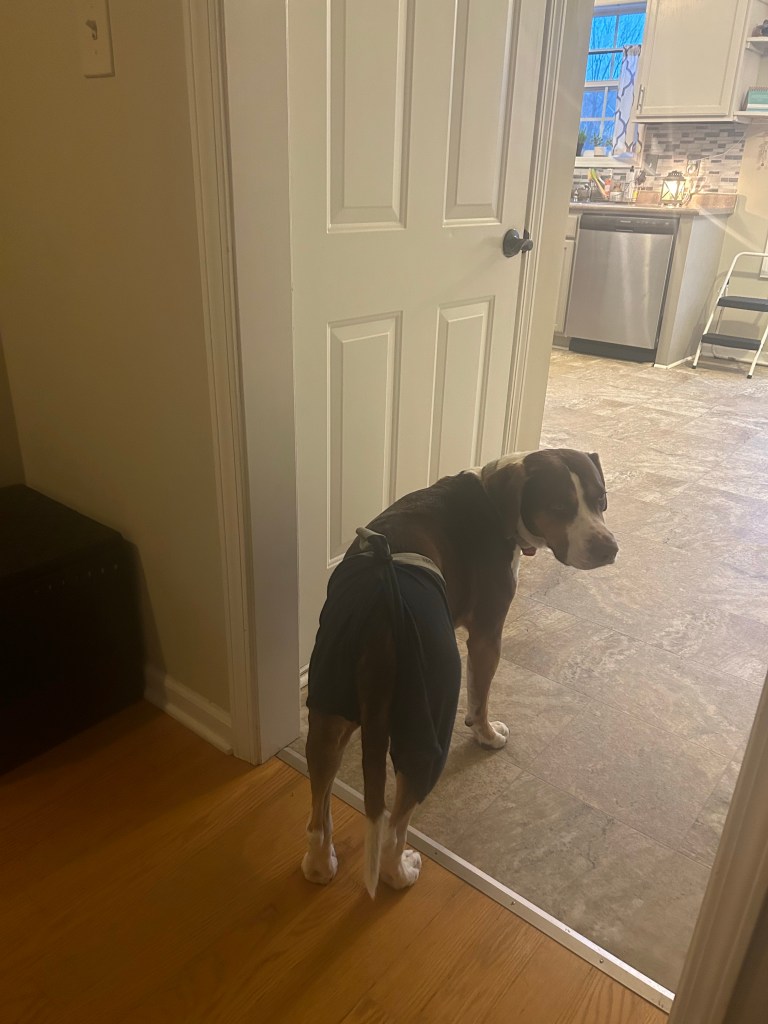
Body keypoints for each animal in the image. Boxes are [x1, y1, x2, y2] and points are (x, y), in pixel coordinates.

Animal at [301, 449, 617, 897]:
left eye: (600, 499)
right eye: (560, 507)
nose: (609, 548)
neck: (497, 499)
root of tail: (381, 606)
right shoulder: (487, 633)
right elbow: (480, 695)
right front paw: (487, 735)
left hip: (328, 711)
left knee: (319, 806)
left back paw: (319, 863)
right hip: (427, 727)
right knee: (394, 828)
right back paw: (402, 872)